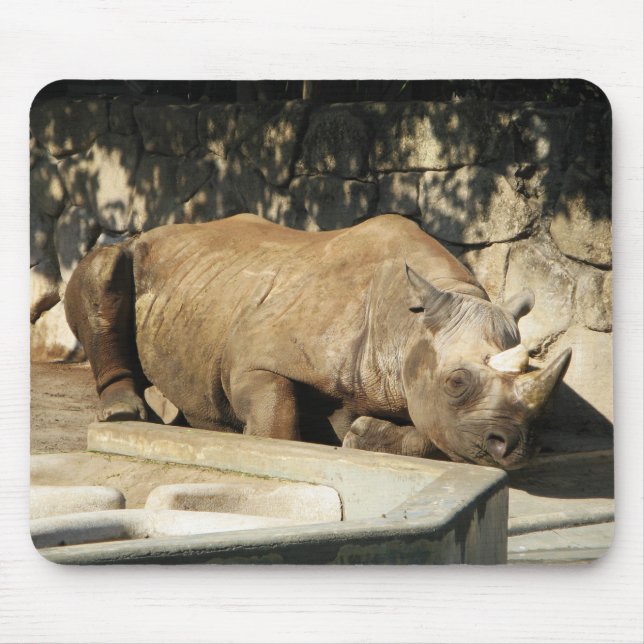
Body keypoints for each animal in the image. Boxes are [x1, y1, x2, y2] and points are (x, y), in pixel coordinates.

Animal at [65, 213, 571, 470]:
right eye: (457, 382)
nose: (515, 446)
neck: (406, 325)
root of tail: (155, 231)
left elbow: (437, 435)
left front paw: (362, 435)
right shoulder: (254, 360)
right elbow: (277, 416)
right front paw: (264, 444)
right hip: (136, 252)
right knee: (104, 265)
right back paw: (126, 414)